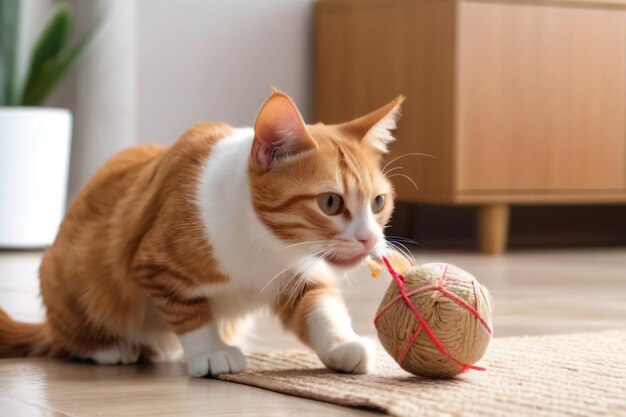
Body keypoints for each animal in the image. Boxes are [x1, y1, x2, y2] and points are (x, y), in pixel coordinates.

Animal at [0, 89, 400, 376]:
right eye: (330, 202)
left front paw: (341, 345)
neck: (265, 244)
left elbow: (321, 308)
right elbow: (191, 313)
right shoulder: (153, 265)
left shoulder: (301, 277)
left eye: (378, 202)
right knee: (71, 337)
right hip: (71, 278)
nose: (369, 238)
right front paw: (211, 352)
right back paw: (111, 348)